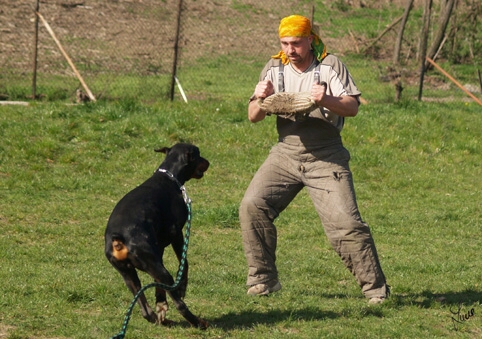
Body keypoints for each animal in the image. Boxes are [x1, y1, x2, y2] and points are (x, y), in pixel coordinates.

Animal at [104, 143, 210, 330]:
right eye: (198, 154)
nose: (209, 162)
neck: (169, 177)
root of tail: (119, 238)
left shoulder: (158, 251)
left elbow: (157, 286)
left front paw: (161, 304)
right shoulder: (177, 234)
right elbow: (184, 263)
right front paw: (181, 287)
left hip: (129, 274)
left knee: (146, 311)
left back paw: (162, 318)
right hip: (158, 268)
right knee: (180, 304)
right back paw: (198, 322)